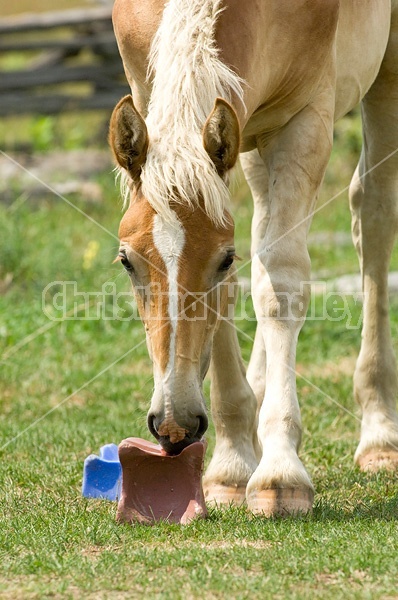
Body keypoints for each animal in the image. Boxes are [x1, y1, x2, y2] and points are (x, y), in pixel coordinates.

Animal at [110, 0, 398, 516]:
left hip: (385, 73)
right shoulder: (149, 94)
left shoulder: (305, 120)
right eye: (127, 261)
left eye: (224, 259)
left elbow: (279, 282)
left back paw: (379, 433)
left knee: (374, 214)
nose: (174, 426)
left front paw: (280, 473)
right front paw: (230, 464)